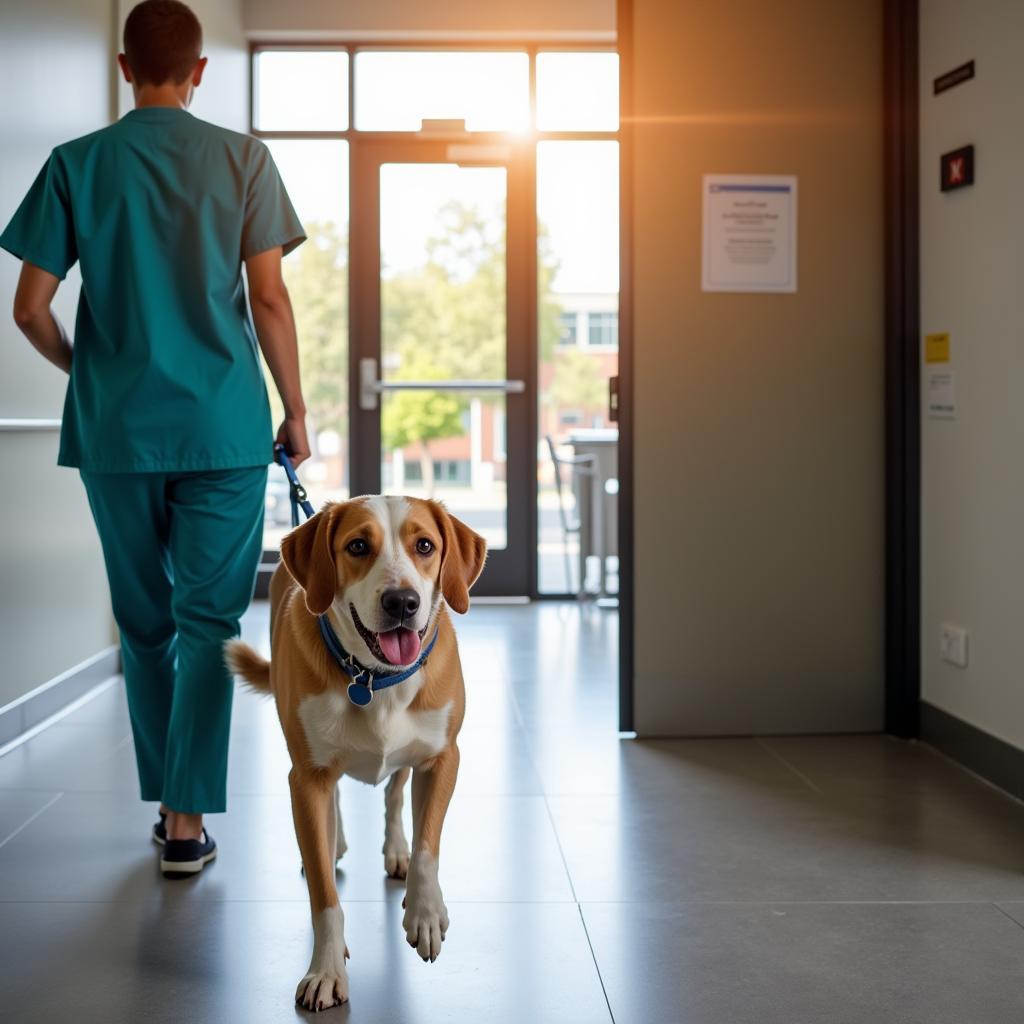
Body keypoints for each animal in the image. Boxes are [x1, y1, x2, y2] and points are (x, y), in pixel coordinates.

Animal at [227, 493, 487, 1007]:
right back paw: (334, 841)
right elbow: (325, 899)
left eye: (424, 545)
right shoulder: (306, 777)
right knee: (336, 804)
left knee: (394, 793)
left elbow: (428, 845)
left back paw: (395, 850)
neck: (372, 677)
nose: (402, 601)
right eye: (358, 546)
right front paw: (326, 970)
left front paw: (425, 912)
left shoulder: (443, 758)